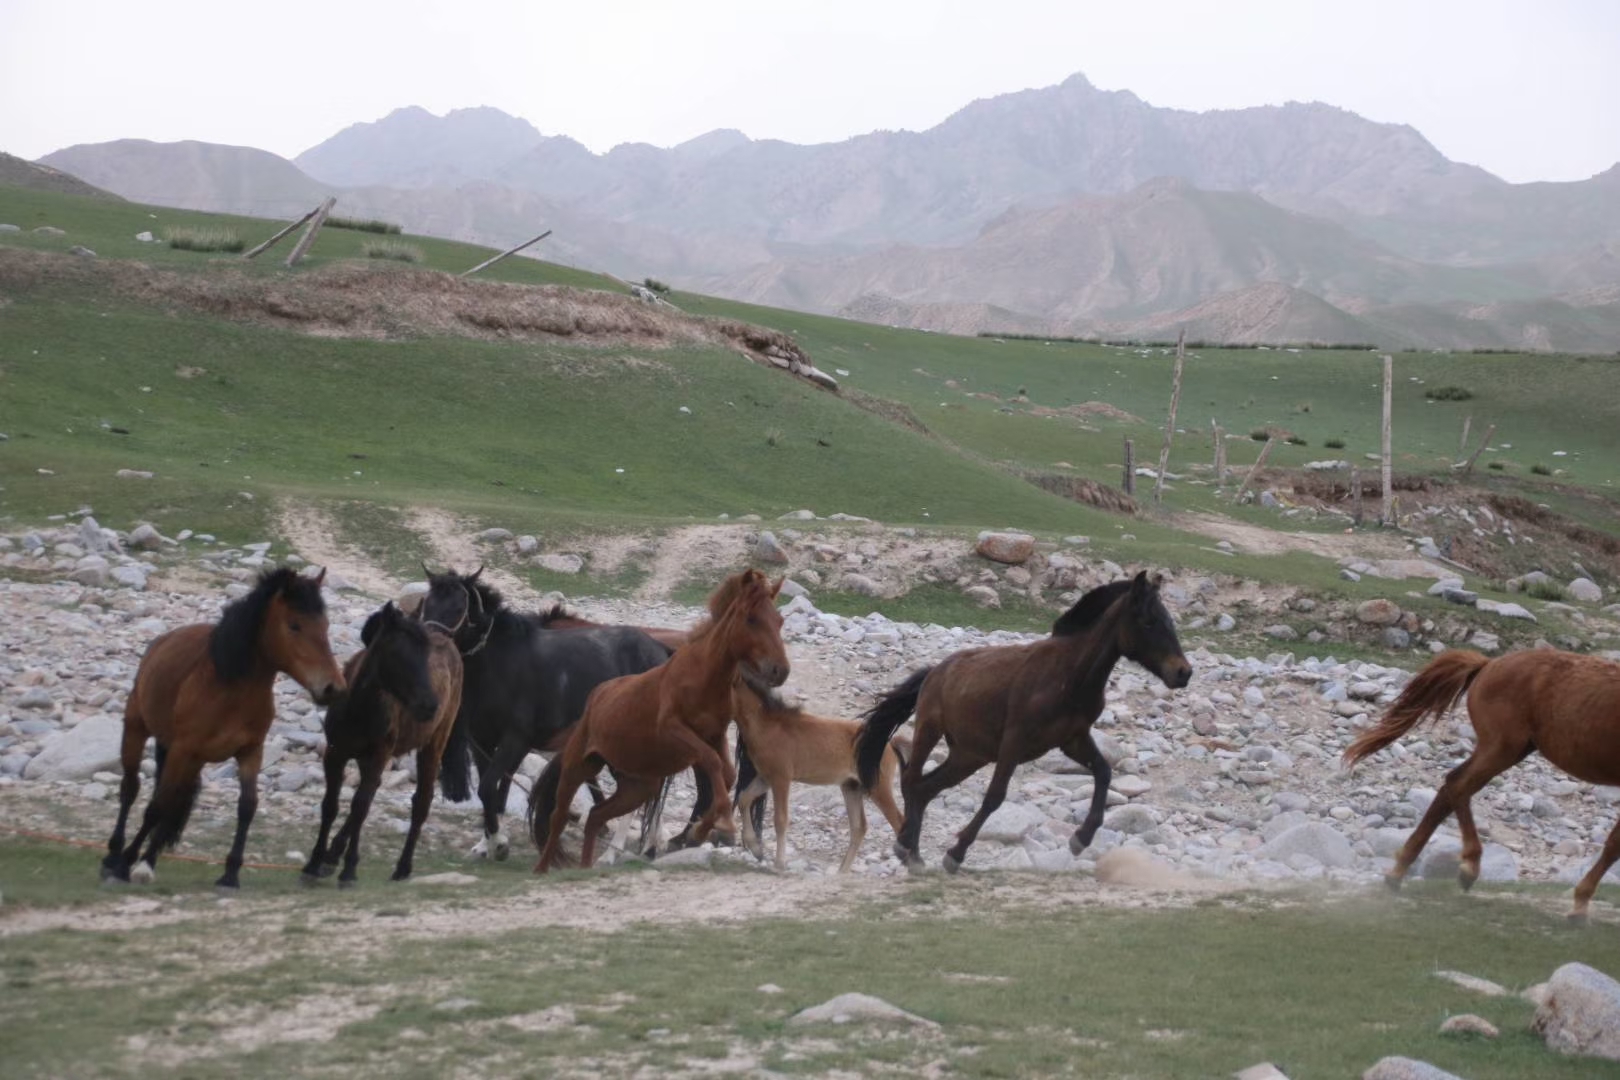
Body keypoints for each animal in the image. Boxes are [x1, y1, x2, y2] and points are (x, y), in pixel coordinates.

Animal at [302, 599, 463, 887]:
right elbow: (331, 805)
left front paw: (349, 870)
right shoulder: (335, 754)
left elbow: (360, 807)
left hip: (433, 745)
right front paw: (315, 862)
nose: (430, 705)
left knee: (421, 802)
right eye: (398, 654)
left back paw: (402, 867)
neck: (359, 708)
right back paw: (333, 855)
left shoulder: (379, 754)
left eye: (426, 655)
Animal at [421, 566, 680, 861]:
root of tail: (661, 651)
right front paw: (487, 843)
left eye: (458, 606)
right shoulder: (482, 742)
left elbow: (488, 787)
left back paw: (612, 854)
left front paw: (498, 842)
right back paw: (649, 846)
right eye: (428, 603)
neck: (501, 664)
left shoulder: (516, 740)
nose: (431, 643)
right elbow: (494, 792)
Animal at [528, 569, 787, 874]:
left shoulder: (703, 736)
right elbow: (715, 769)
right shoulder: (677, 734)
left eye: (779, 621)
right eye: (752, 619)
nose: (780, 670)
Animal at [861, 569, 1192, 874]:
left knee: (926, 787)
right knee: (911, 780)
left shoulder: (1073, 739)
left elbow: (1104, 772)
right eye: (1148, 621)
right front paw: (956, 853)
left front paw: (1081, 839)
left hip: (970, 756)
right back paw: (906, 846)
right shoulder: (1014, 742)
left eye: (1170, 621)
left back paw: (912, 852)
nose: (1183, 672)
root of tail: (935, 671)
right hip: (930, 731)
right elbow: (995, 797)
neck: (1070, 677)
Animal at [1341, 647, 1620, 926]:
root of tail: (1488, 663)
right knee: (1457, 787)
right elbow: (1614, 846)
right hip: (1500, 750)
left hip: (1508, 750)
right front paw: (1579, 907)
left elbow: (1613, 845)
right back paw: (1468, 868)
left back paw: (1398, 872)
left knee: (1449, 790)